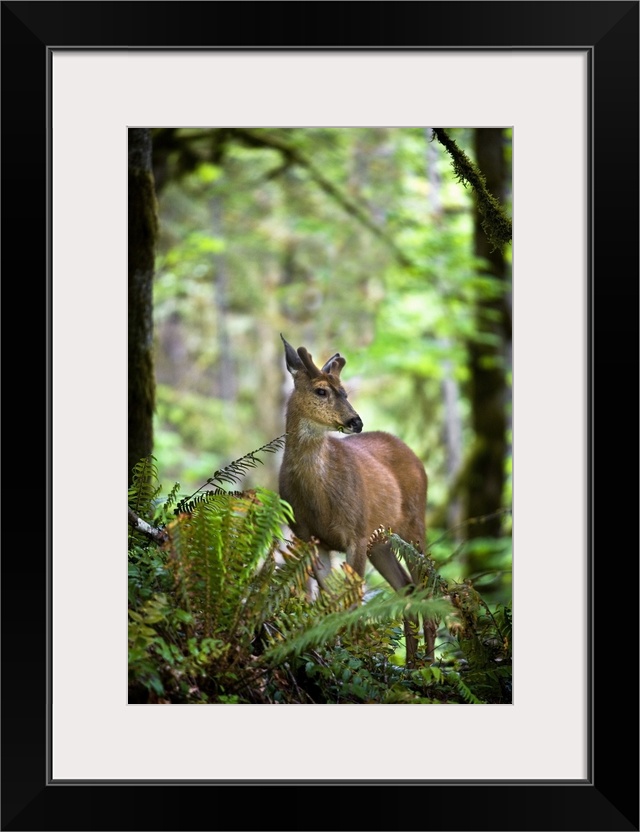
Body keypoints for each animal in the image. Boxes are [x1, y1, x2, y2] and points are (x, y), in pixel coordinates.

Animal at [278, 334, 432, 668]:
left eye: (345, 391)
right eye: (321, 390)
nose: (355, 421)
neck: (318, 500)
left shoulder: (356, 532)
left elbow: (352, 600)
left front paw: (352, 654)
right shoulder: (309, 536)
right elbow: (330, 600)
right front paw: (335, 651)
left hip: (413, 523)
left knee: (427, 584)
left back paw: (429, 663)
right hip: (381, 542)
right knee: (407, 586)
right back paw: (411, 663)